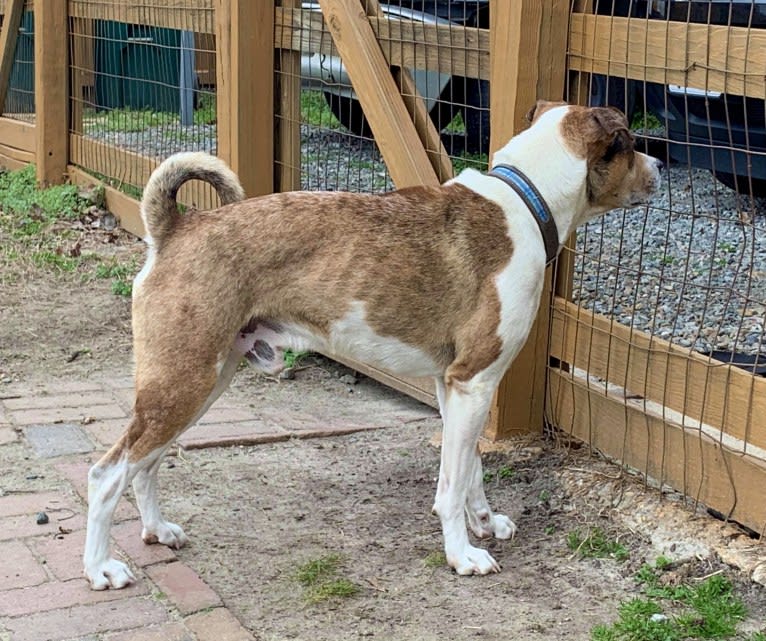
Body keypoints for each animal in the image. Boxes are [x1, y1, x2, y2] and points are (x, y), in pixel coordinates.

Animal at [82, 102, 660, 588]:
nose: (658, 166)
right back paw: (100, 568)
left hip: (199, 384)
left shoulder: (455, 387)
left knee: (147, 462)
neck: (524, 202)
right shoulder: (474, 381)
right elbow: (452, 486)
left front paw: (483, 523)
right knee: (108, 474)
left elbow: (470, 470)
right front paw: (462, 555)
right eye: (630, 144)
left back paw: (157, 530)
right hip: (184, 384)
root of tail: (177, 229)